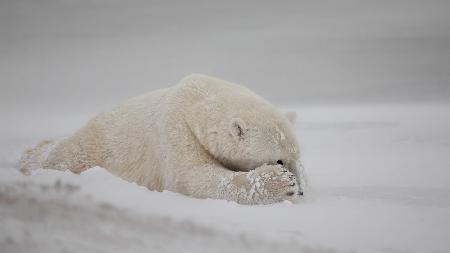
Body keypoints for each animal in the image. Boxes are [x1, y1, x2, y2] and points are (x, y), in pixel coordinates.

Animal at [22, 74, 308, 205]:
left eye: (297, 157)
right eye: (279, 160)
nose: (302, 191)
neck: (196, 101)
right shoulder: (175, 131)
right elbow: (194, 178)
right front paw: (282, 184)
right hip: (95, 144)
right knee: (67, 154)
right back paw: (30, 159)